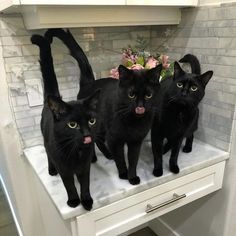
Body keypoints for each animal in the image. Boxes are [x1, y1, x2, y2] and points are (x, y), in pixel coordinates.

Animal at [30, 34, 99, 209]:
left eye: (92, 121)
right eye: (72, 124)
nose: (87, 135)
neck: (77, 152)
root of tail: (52, 98)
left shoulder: (84, 168)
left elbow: (85, 183)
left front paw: (86, 200)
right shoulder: (64, 169)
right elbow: (69, 185)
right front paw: (74, 201)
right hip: (47, 140)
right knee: (48, 153)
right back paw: (51, 170)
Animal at [45, 29, 162, 184]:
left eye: (148, 95)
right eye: (131, 95)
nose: (140, 106)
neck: (134, 121)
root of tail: (89, 83)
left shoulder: (136, 142)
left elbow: (133, 160)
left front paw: (132, 177)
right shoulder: (114, 139)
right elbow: (120, 158)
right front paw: (123, 174)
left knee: (97, 139)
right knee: (97, 140)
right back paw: (101, 156)